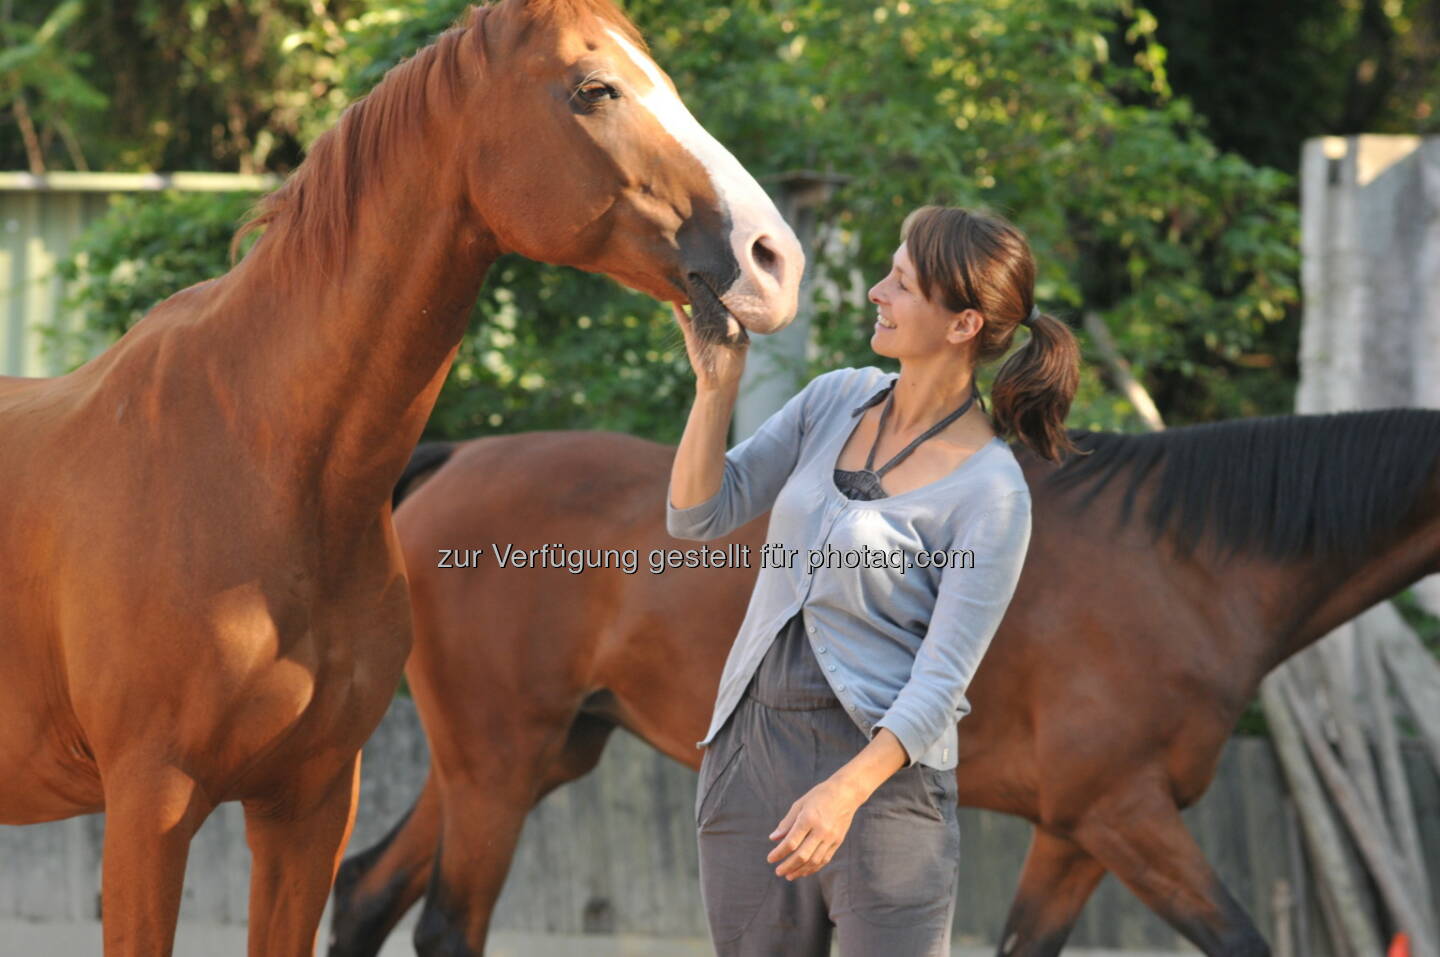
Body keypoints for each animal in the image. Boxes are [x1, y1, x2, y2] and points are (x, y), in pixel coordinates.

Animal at [329, 405, 1440, 949]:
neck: (1181, 562)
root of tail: (453, 461)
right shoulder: (1124, 816)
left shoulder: (1077, 834)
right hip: (496, 766)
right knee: (445, 926)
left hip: (519, 760)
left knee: (365, 892)